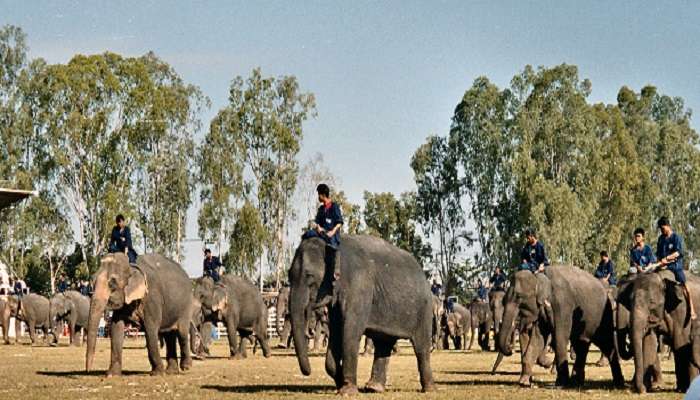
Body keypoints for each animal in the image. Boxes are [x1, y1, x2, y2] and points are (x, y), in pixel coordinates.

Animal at [288, 234, 432, 394]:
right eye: (288, 275)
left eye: (309, 276)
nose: (308, 372)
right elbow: (336, 331)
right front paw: (341, 385)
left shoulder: (359, 286)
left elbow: (350, 332)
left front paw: (347, 392)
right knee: (383, 344)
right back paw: (373, 388)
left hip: (424, 310)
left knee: (421, 347)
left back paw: (429, 389)